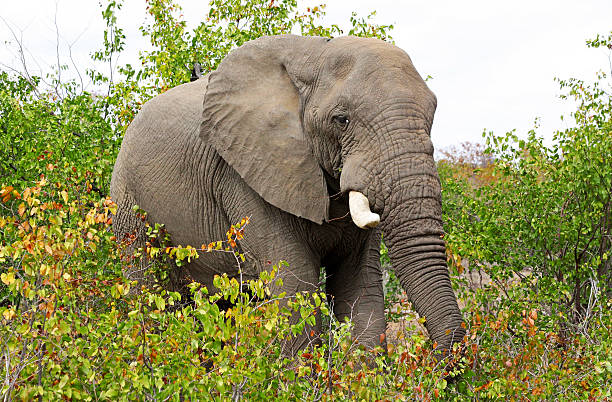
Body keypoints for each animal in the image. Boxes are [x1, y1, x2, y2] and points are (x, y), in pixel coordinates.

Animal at [110, 33, 464, 354]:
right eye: (342, 119)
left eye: (432, 115)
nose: (444, 368)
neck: (314, 58)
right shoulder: (247, 173)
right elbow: (294, 284)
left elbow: (360, 286)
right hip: (130, 209)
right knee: (152, 296)